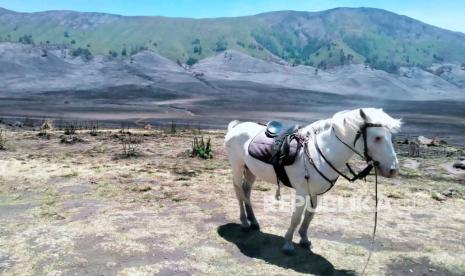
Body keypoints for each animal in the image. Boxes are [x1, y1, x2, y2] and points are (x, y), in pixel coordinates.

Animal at [224, 108, 398, 254]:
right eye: (378, 137)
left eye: (390, 137)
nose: (393, 169)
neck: (319, 154)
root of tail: (235, 128)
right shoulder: (301, 192)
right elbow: (296, 217)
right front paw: (288, 244)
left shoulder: (316, 193)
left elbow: (309, 216)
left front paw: (304, 238)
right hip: (238, 167)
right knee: (239, 191)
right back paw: (244, 222)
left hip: (250, 170)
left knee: (246, 191)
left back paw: (253, 221)